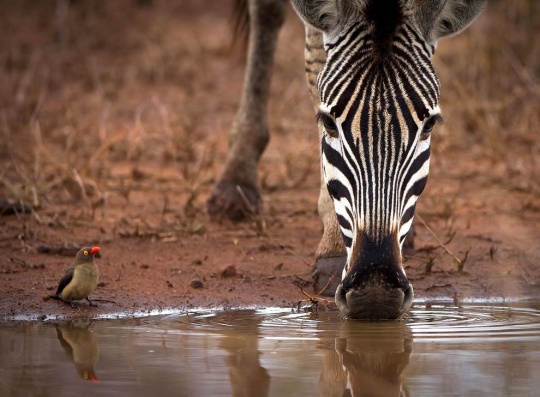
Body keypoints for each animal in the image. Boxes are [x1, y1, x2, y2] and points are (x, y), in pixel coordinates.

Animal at [207, 0, 486, 318]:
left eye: (429, 125)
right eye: (328, 121)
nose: (376, 291)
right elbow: (316, 61)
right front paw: (334, 249)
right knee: (267, 12)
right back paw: (236, 181)